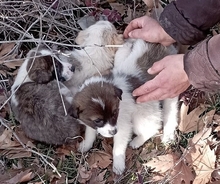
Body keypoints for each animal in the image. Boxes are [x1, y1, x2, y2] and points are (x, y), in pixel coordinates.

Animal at [72, 38, 179, 174]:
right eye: (98, 120)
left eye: (114, 113)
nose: (113, 132)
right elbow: (90, 132)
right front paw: (86, 144)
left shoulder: (122, 126)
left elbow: (118, 147)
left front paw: (118, 164)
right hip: (122, 51)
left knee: (156, 125)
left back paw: (142, 140)